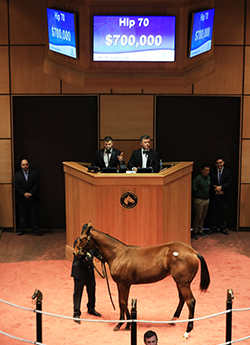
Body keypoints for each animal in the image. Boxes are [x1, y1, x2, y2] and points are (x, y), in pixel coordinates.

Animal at [73, 222, 210, 338]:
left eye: (81, 238)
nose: (75, 252)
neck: (119, 255)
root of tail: (193, 252)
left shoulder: (124, 284)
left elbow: (123, 302)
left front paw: (121, 324)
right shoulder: (121, 284)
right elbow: (122, 302)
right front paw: (126, 324)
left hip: (183, 283)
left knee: (190, 302)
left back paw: (187, 331)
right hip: (180, 282)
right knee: (182, 299)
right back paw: (173, 320)